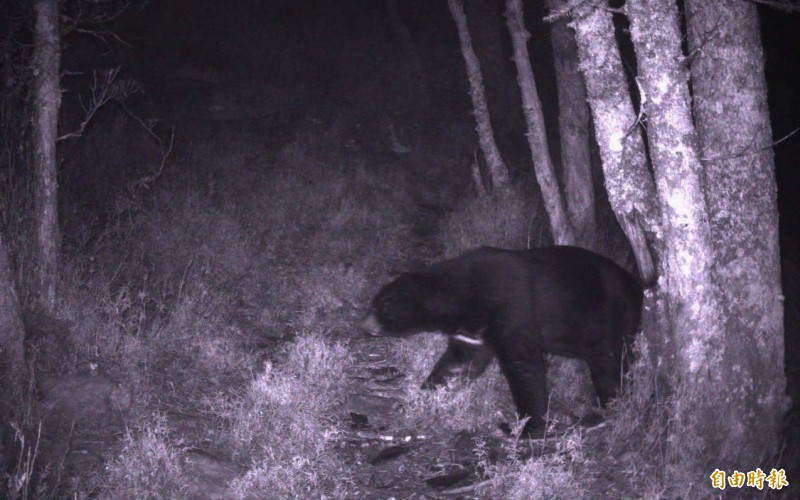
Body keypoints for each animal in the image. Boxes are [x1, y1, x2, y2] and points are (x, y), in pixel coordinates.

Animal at [360, 246, 644, 438]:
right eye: (374, 302)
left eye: (381, 304)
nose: (363, 325)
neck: (465, 296)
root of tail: (637, 284)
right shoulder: (473, 331)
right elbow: (459, 363)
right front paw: (419, 398)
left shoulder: (511, 306)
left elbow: (523, 365)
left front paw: (527, 428)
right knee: (604, 362)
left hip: (619, 316)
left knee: (615, 362)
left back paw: (610, 406)